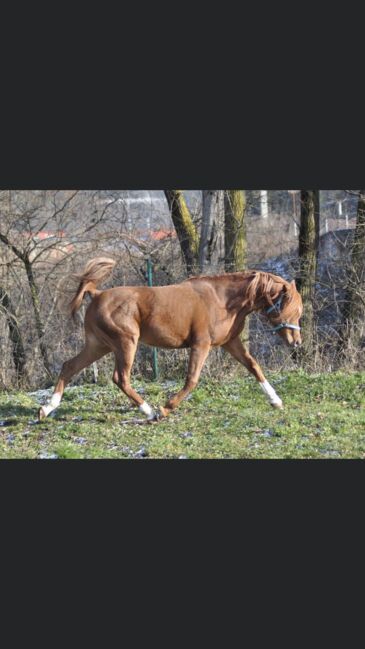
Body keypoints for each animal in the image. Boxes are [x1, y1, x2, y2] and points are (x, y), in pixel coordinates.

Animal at [39, 256, 302, 420]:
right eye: (296, 309)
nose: (296, 342)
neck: (223, 300)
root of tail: (97, 293)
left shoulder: (230, 343)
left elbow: (254, 366)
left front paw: (276, 401)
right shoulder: (201, 345)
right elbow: (192, 380)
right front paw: (166, 408)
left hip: (99, 346)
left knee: (69, 366)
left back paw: (47, 408)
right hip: (125, 343)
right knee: (120, 378)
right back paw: (149, 411)